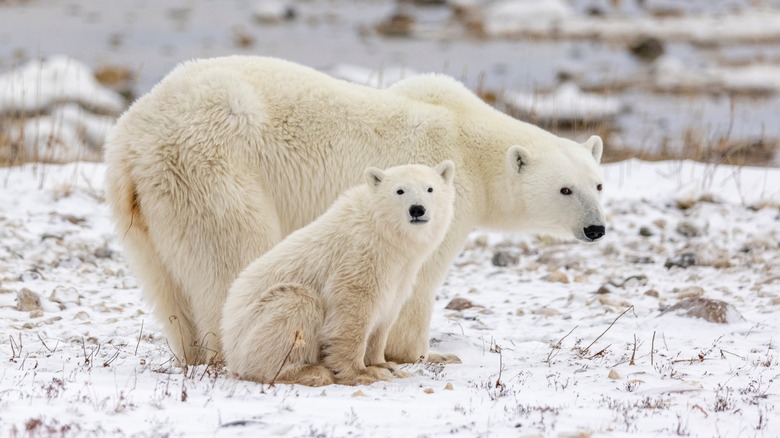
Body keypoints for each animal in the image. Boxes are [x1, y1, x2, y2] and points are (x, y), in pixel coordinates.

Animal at [221, 161, 456, 386]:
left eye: (430, 188)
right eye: (400, 190)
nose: (417, 209)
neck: (382, 234)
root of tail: (227, 338)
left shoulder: (400, 274)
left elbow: (384, 317)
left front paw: (385, 365)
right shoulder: (357, 260)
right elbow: (351, 315)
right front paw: (363, 373)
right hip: (257, 322)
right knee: (297, 304)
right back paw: (310, 372)